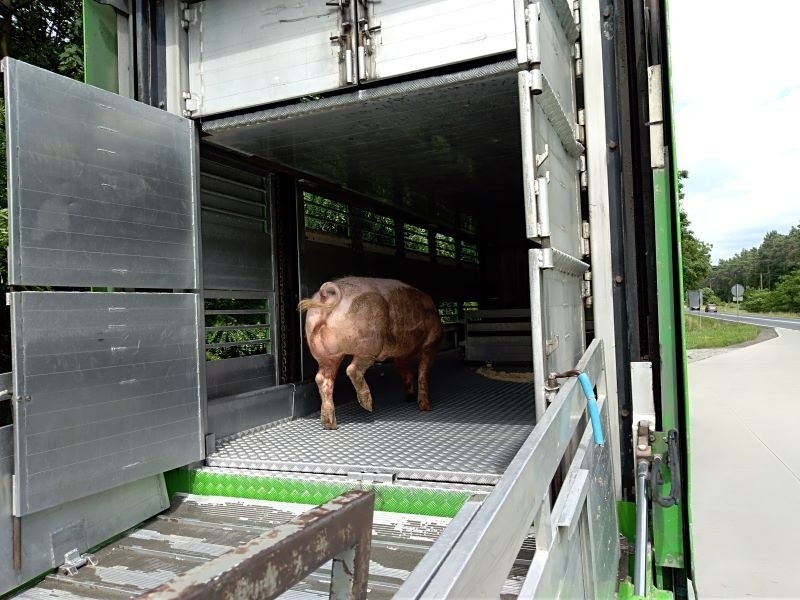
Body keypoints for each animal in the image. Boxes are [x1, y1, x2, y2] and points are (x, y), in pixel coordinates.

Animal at [298, 278, 440, 428]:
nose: (427, 407)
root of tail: (326, 296)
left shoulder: (399, 356)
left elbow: (406, 373)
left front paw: (410, 398)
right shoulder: (431, 344)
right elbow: (422, 375)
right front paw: (427, 408)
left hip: (325, 353)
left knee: (322, 379)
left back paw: (330, 424)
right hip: (369, 343)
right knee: (352, 369)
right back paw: (369, 406)